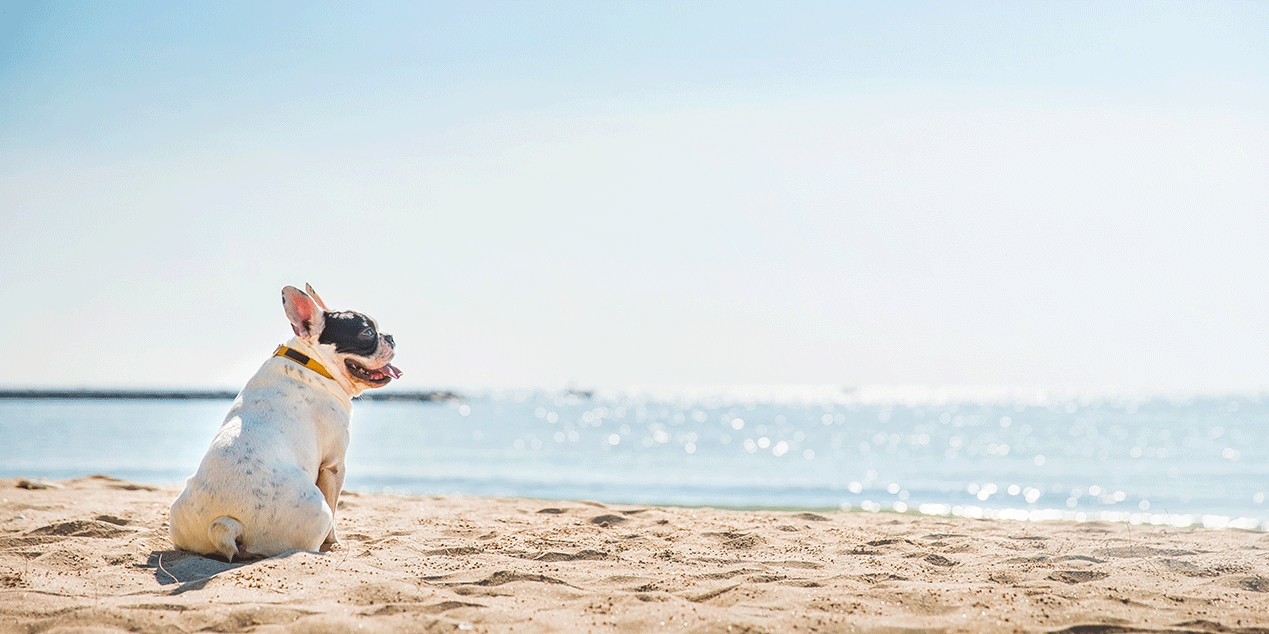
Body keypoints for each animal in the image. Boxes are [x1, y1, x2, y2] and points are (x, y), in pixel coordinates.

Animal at [168, 284, 395, 560]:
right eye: (368, 333)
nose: (390, 337)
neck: (314, 362)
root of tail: (226, 524)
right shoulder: (334, 465)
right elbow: (335, 507)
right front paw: (335, 542)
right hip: (317, 512)